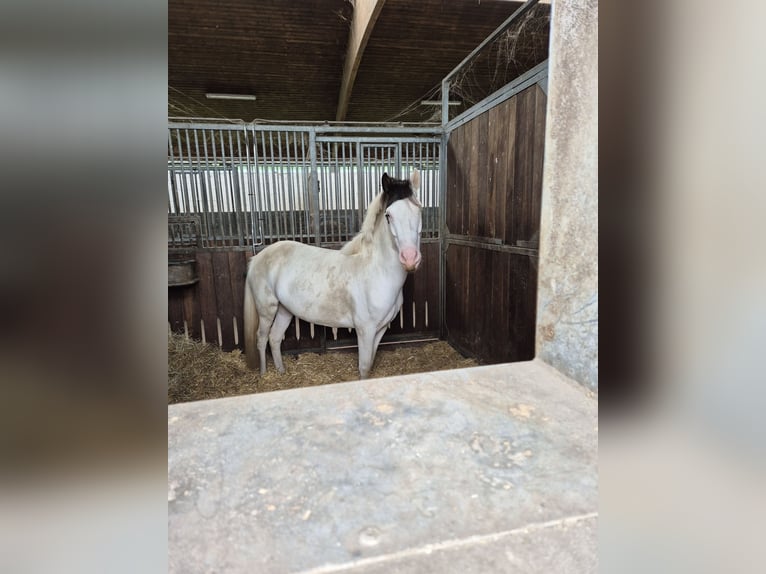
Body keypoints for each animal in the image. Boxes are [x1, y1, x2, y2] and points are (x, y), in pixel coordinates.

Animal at [246, 169, 426, 380]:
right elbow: (364, 367)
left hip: (285, 310)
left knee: (274, 338)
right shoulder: (365, 330)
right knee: (261, 338)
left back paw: (281, 372)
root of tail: (257, 258)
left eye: (419, 210)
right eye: (389, 215)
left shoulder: (379, 329)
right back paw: (263, 374)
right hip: (267, 309)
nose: (410, 258)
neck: (376, 272)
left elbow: (370, 363)